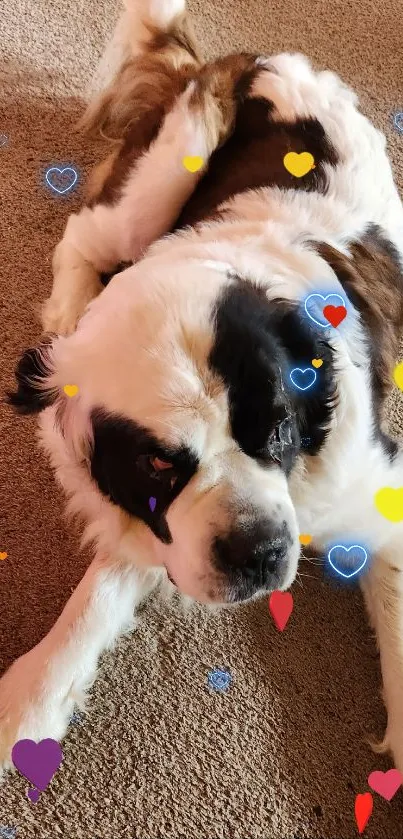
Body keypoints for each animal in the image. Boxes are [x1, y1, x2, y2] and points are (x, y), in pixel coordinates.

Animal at [0, 0, 403, 776]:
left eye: (279, 427)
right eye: (160, 464)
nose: (258, 552)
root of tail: (249, 57)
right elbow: (96, 595)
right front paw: (29, 702)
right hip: (161, 176)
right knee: (85, 233)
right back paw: (65, 320)